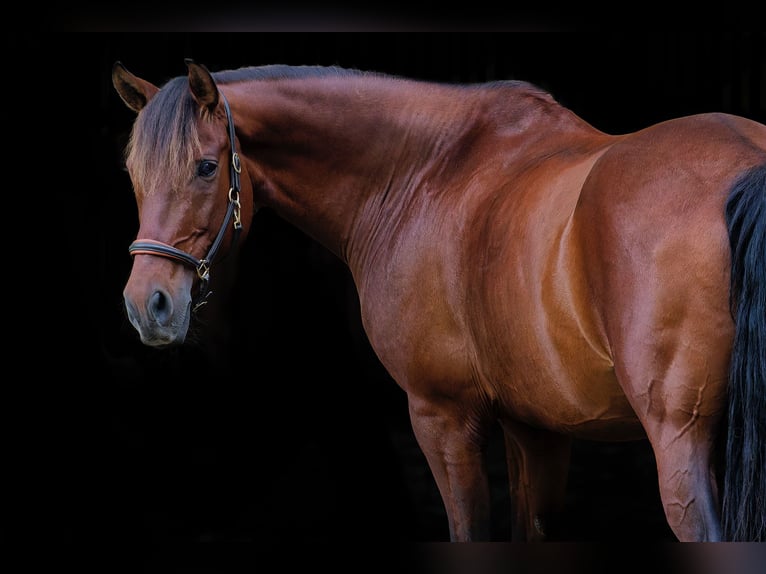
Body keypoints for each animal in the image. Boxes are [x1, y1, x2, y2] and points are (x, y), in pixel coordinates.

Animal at [112, 59, 766, 544]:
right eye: (134, 174)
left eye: (205, 167)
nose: (148, 305)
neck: (422, 175)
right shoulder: (536, 428)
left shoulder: (442, 417)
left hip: (681, 443)